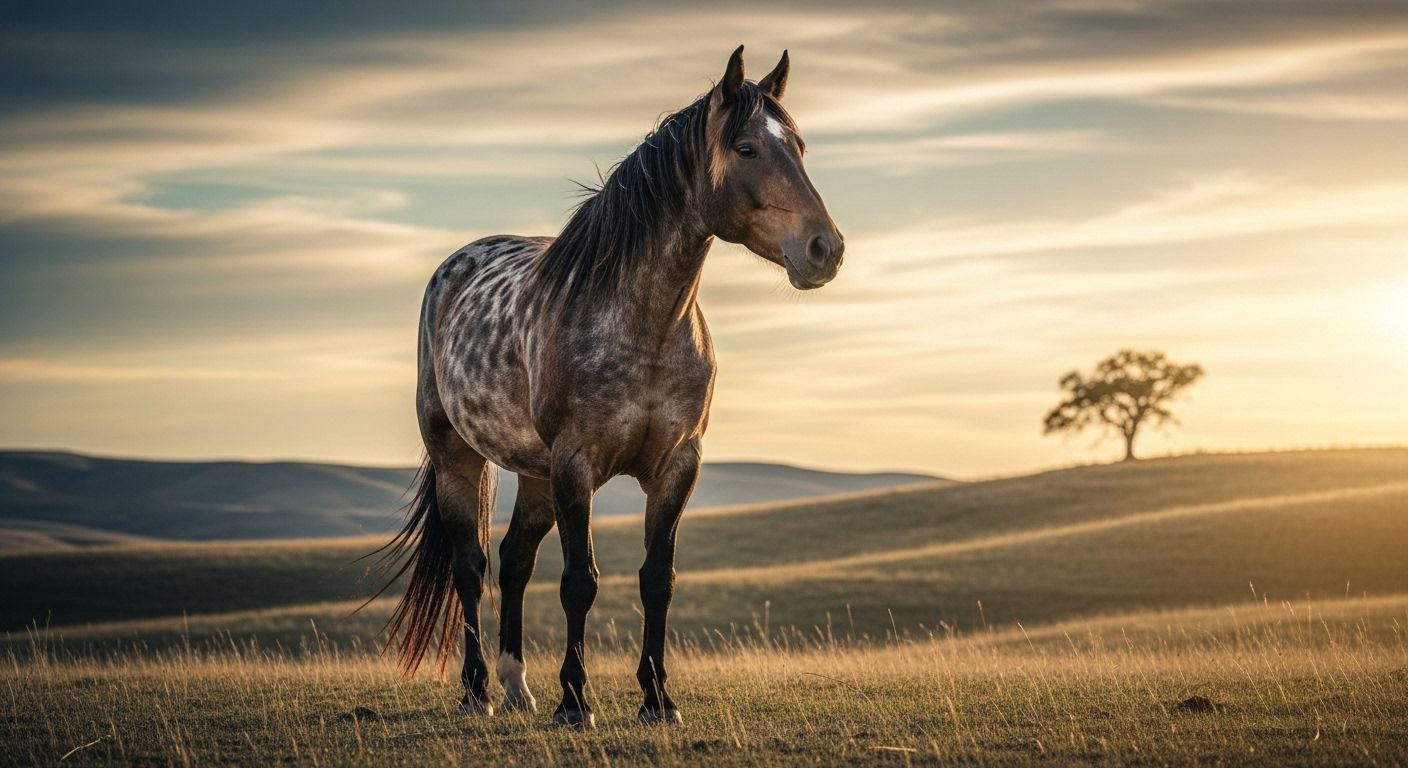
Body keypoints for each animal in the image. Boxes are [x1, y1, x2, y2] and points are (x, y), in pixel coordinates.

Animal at [374, 45, 844, 728]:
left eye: (800, 147)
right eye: (747, 148)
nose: (824, 249)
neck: (645, 326)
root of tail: (454, 267)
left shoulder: (677, 465)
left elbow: (657, 580)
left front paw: (658, 700)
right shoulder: (577, 464)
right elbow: (580, 581)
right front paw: (575, 701)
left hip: (536, 473)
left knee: (515, 562)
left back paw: (518, 688)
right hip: (460, 456)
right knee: (471, 567)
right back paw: (478, 692)